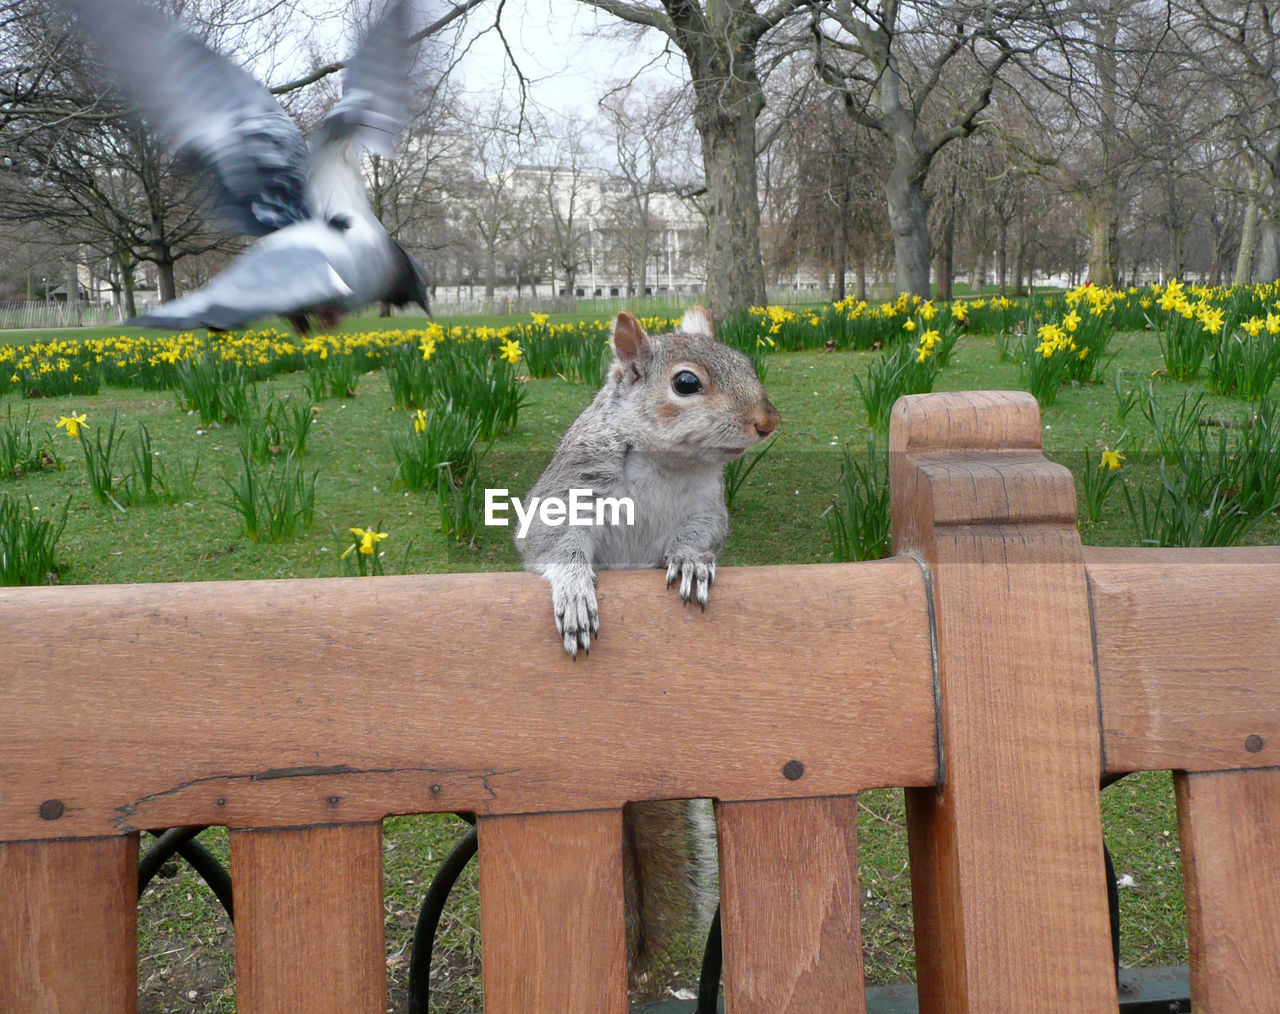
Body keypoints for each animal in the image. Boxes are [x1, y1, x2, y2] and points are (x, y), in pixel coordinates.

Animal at [512, 307, 773, 983]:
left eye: (748, 362)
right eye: (686, 384)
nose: (767, 421)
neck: (670, 464)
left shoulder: (707, 511)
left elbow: (698, 540)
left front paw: (693, 565)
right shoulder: (566, 495)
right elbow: (554, 548)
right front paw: (575, 590)